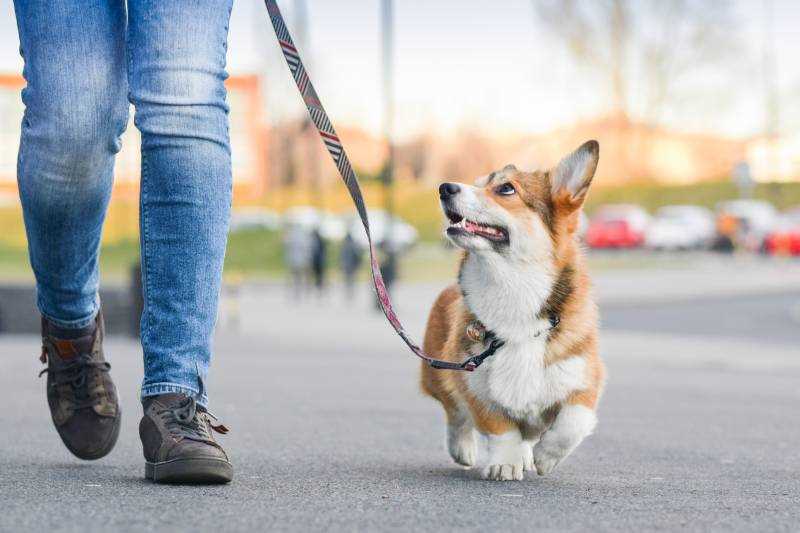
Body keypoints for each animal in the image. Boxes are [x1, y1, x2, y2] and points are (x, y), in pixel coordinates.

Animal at [422, 139, 604, 480]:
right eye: (478, 183)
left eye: (506, 188)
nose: (444, 187)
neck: (513, 288)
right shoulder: (474, 383)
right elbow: (500, 428)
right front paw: (505, 463)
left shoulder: (584, 380)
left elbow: (572, 422)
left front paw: (546, 457)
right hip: (437, 372)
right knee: (455, 414)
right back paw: (464, 449)